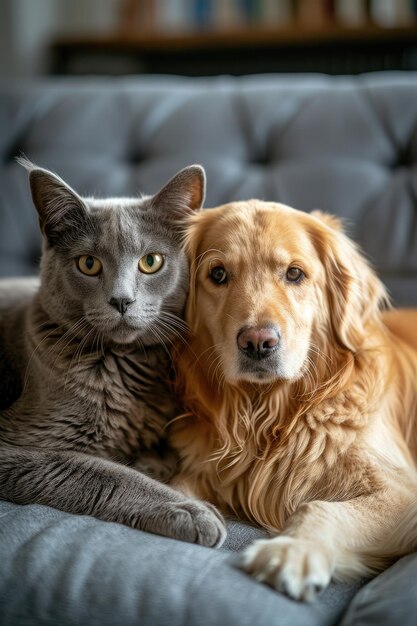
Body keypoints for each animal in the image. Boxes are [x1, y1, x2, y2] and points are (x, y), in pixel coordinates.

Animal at [0, 161, 226, 544]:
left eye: (151, 261)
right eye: (88, 264)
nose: (121, 300)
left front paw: (152, 462)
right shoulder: (15, 445)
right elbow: (97, 470)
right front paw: (190, 510)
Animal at [171, 200, 416, 600]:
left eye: (295, 274)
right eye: (218, 273)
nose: (258, 342)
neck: (270, 415)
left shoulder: (402, 491)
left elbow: (319, 508)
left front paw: (293, 550)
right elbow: (175, 482)